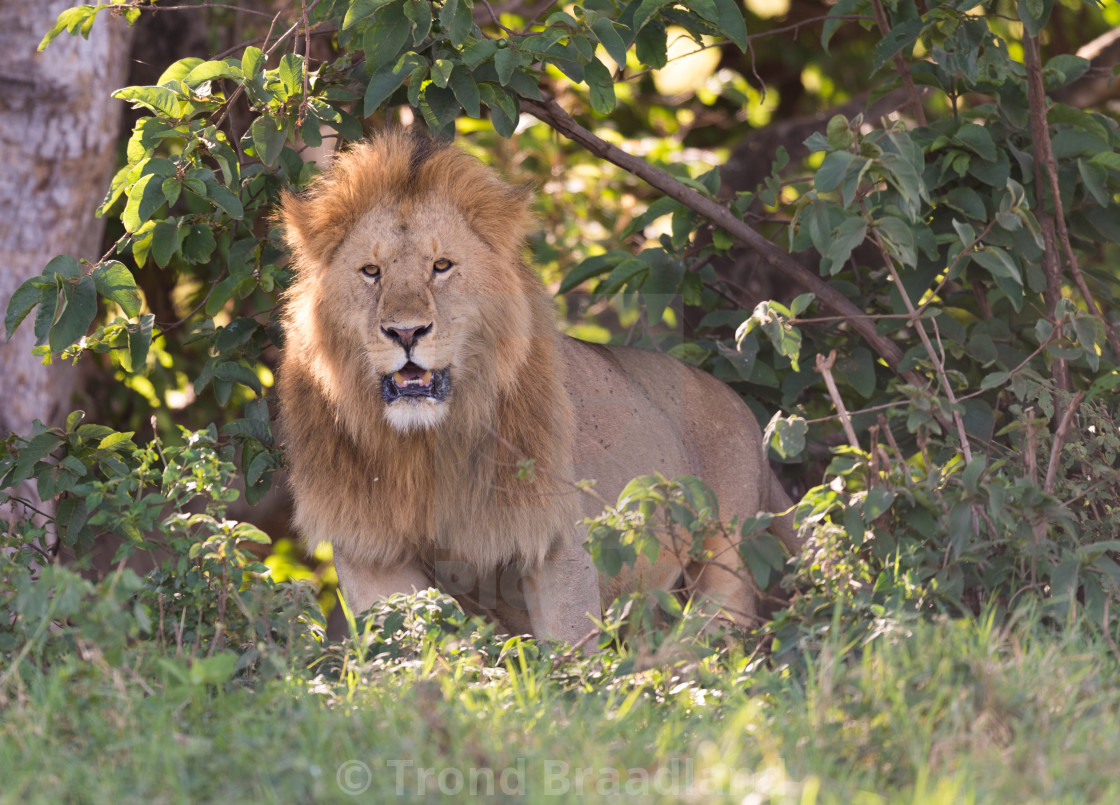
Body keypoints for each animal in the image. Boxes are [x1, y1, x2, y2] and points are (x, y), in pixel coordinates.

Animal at [280, 135, 806, 644]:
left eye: (442, 266)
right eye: (371, 272)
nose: (406, 332)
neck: (426, 445)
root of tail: (744, 411)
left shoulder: (557, 544)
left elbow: (569, 656)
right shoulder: (371, 554)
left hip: (727, 561)